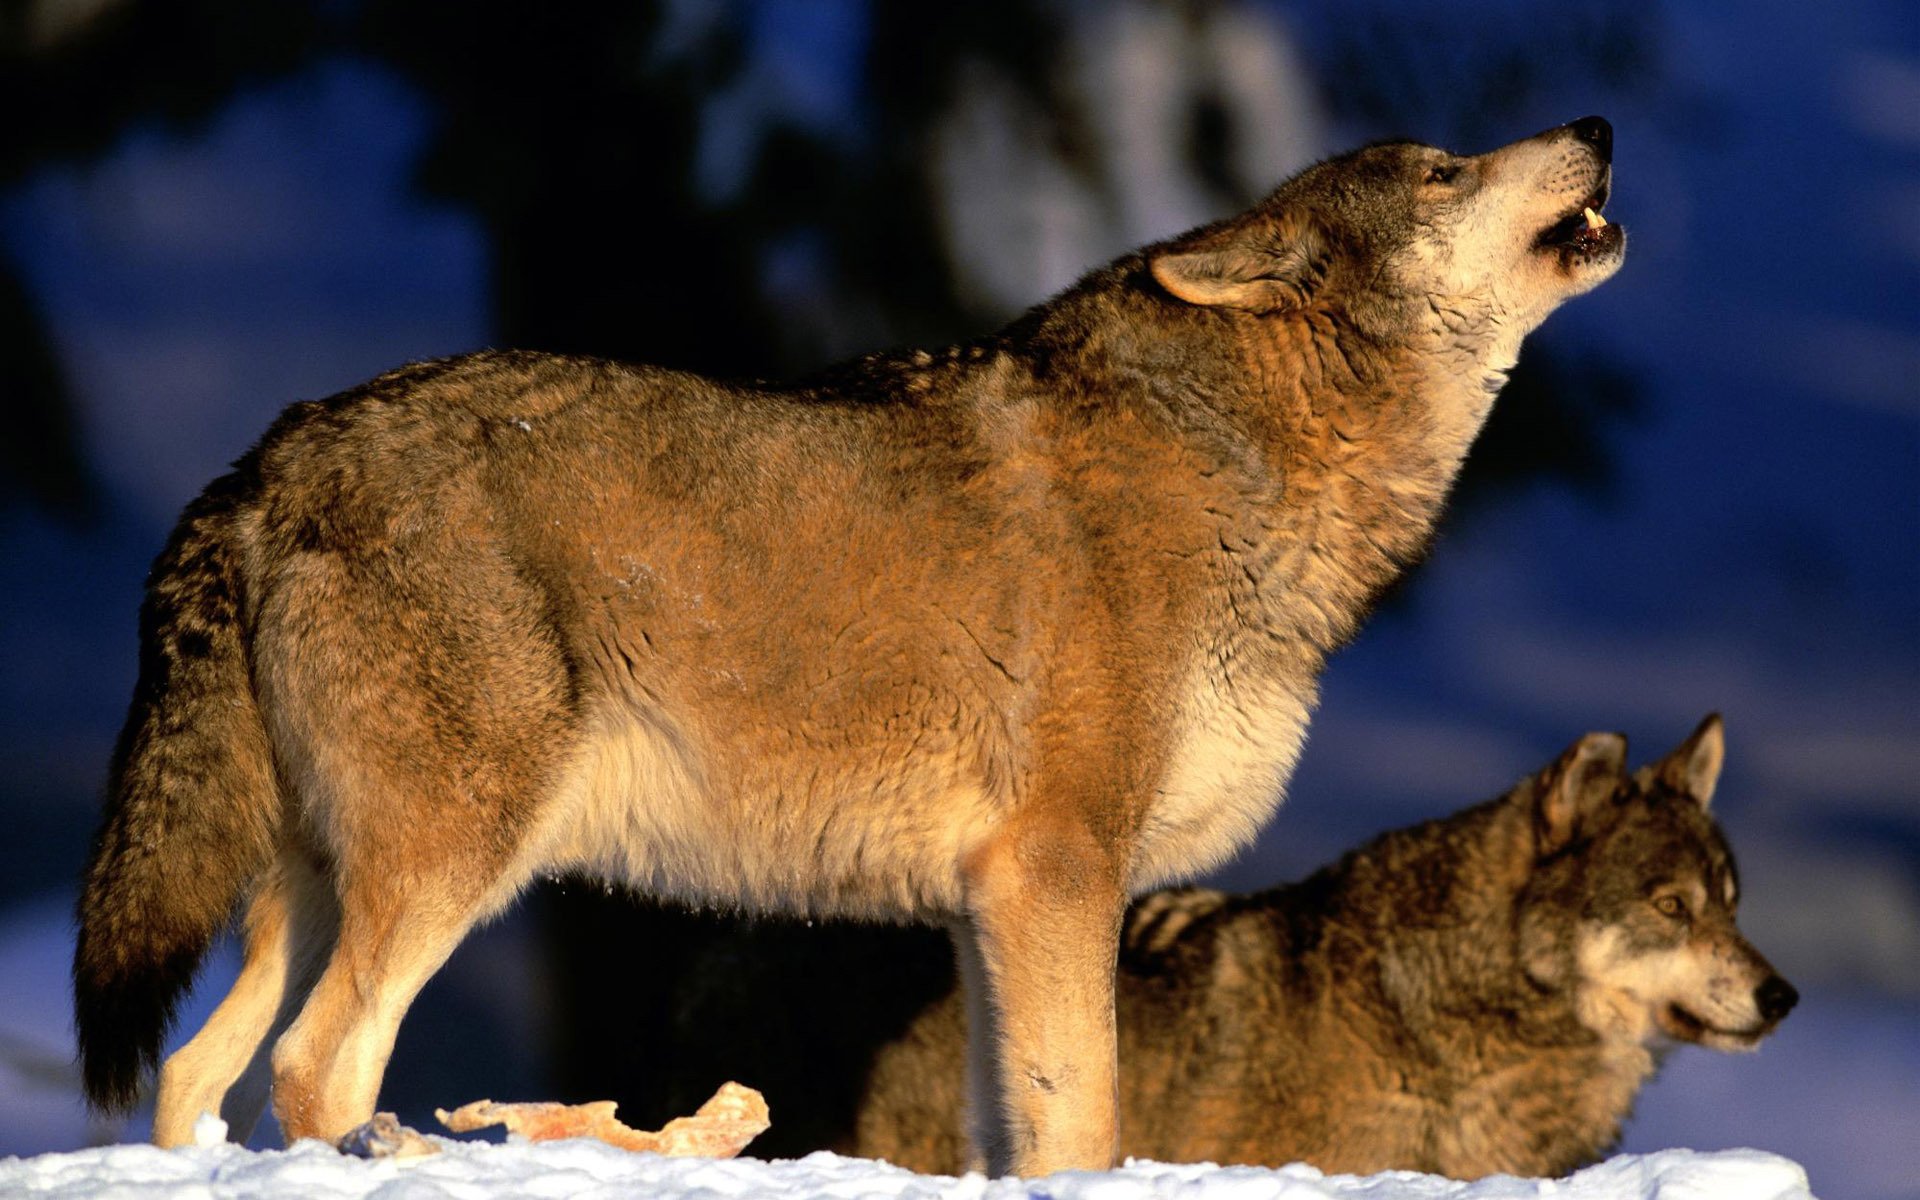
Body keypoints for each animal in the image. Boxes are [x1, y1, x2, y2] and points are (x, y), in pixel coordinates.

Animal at [74, 117, 1624, 1175]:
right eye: (1441, 171)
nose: (1598, 128)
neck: (1247, 470)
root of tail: (268, 459)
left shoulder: (988, 908)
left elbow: (1016, 1131)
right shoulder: (1060, 869)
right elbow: (1088, 1121)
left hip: (314, 890)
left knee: (194, 1076)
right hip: (447, 871)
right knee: (315, 1070)